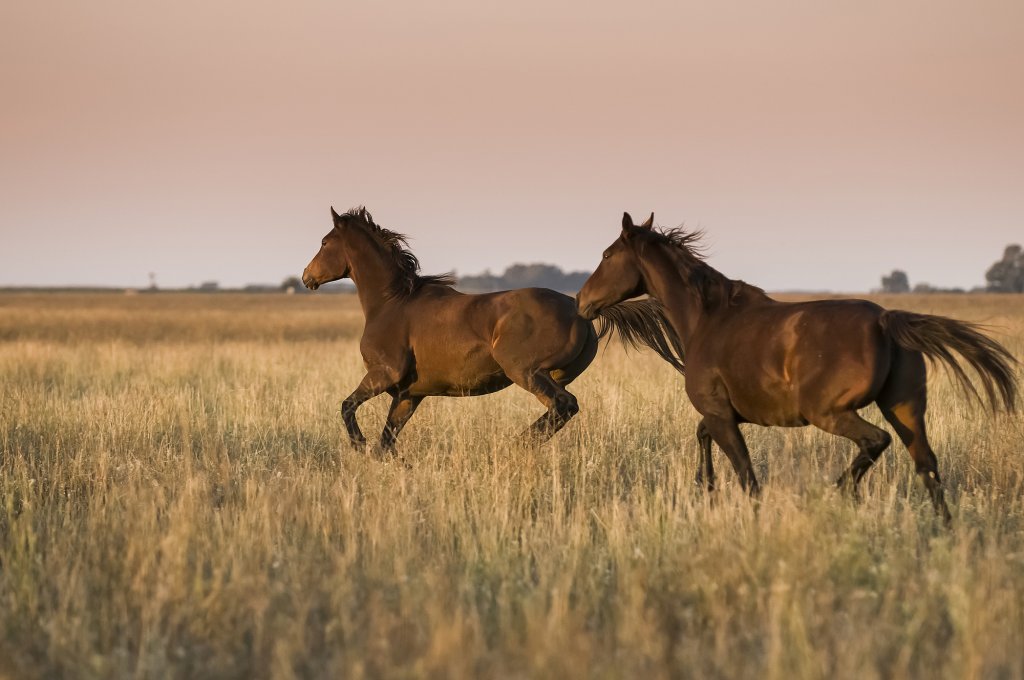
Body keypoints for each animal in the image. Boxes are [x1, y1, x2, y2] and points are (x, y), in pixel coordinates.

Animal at [303, 206, 684, 456]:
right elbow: (386, 441)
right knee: (562, 408)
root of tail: (579, 308)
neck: (391, 302)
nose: (307, 277)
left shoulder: (383, 375)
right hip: (555, 374)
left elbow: (346, 406)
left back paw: (518, 444)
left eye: (324, 242)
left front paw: (358, 444)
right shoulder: (409, 394)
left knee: (564, 405)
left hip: (526, 371)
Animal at [577, 213, 1015, 520]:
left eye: (606, 255)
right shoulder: (730, 414)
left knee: (876, 441)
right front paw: (705, 485)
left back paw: (836, 493)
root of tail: (885, 320)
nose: (582, 300)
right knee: (928, 467)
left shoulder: (721, 414)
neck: (706, 318)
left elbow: (747, 476)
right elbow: (702, 436)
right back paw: (944, 533)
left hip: (829, 411)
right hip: (905, 409)